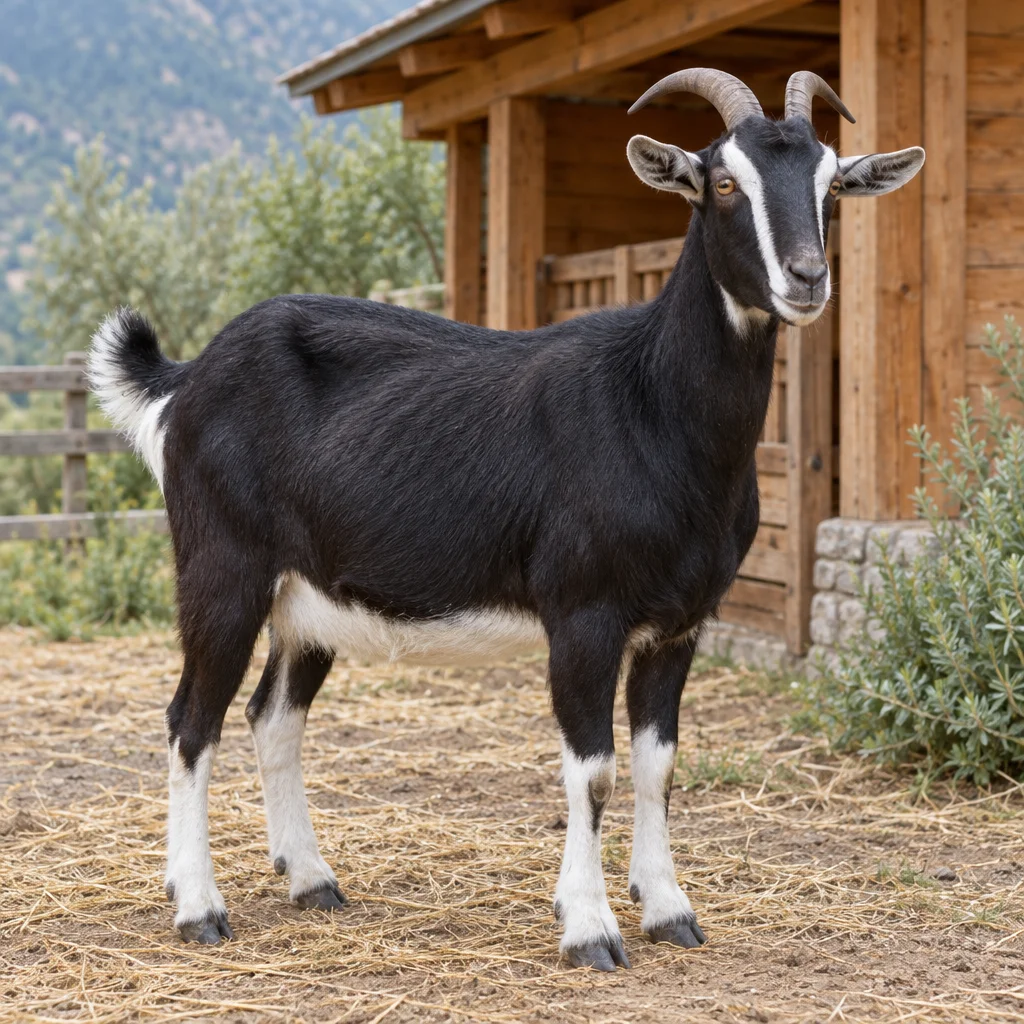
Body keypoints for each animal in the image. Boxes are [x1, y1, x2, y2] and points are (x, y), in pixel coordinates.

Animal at [88, 69, 924, 971]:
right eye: (723, 183)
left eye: (831, 185)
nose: (806, 278)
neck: (651, 406)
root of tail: (185, 380)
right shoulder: (583, 613)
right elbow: (592, 771)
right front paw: (589, 927)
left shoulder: (680, 622)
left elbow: (658, 765)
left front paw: (669, 910)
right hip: (222, 569)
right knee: (190, 722)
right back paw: (197, 907)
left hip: (306, 602)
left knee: (273, 717)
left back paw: (312, 880)